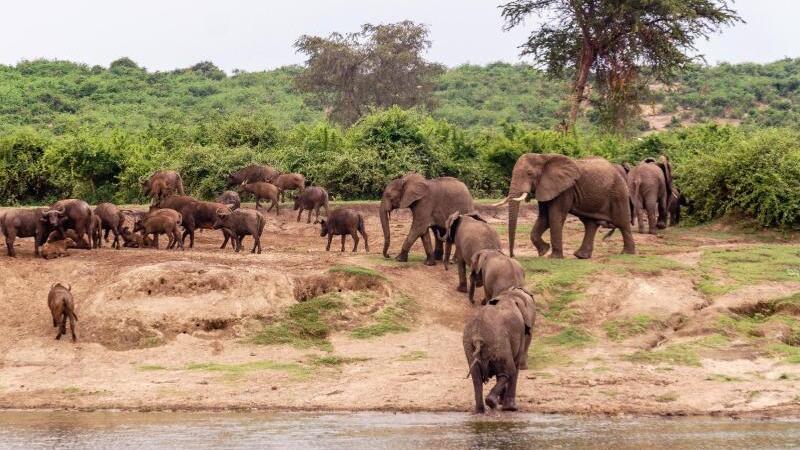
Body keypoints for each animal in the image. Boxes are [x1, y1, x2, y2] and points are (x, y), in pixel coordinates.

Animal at [462, 286, 536, 414]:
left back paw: (480, 410)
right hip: (498, 342)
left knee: (477, 378)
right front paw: (511, 409)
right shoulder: (520, 331)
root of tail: (478, 336)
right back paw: (492, 403)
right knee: (510, 371)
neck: (509, 295)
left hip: (469, 345)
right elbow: (515, 365)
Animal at [496, 155, 636, 260]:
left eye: (530, 173)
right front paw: (543, 251)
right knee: (590, 224)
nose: (512, 256)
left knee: (622, 223)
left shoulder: (565, 190)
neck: (543, 157)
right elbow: (544, 217)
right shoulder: (546, 187)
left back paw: (627, 253)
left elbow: (555, 216)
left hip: (618, 194)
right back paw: (581, 256)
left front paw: (554, 257)